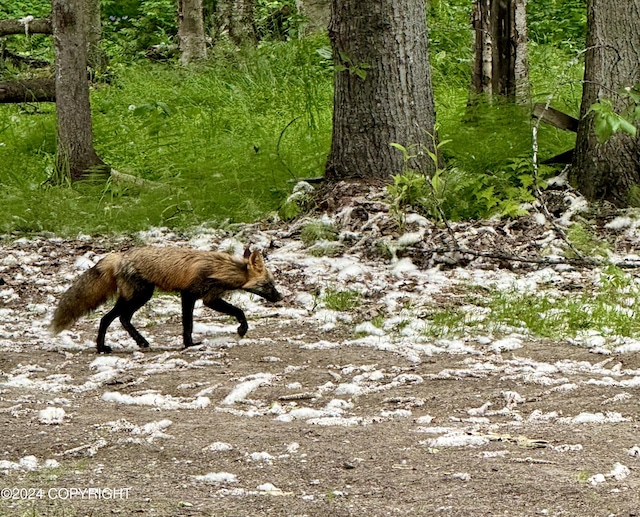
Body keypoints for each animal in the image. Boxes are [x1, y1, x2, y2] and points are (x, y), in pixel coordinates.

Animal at [48, 245, 282, 350]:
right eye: (269, 284)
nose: (280, 297)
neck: (220, 269)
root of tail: (120, 255)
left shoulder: (209, 298)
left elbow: (236, 311)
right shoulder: (190, 295)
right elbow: (189, 323)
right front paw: (190, 344)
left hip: (135, 297)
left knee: (118, 318)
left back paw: (132, 343)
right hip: (140, 296)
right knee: (111, 318)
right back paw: (106, 347)